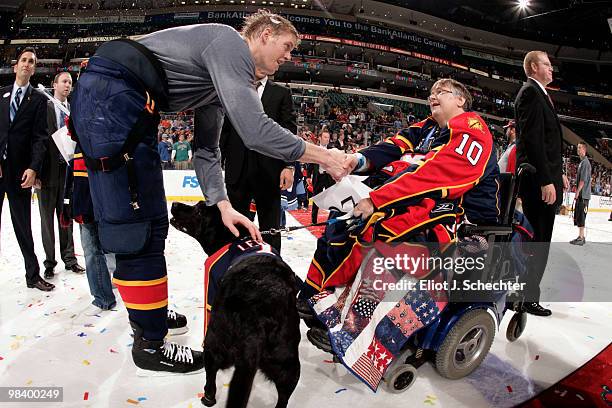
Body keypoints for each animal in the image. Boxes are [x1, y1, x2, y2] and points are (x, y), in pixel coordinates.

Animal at [170, 202, 302, 408]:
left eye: (198, 210)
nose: (174, 204)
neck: (236, 238)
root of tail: (259, 320)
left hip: (213, 342)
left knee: (211, 376)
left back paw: (208, 397)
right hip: (288, 364)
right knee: (283, 397)